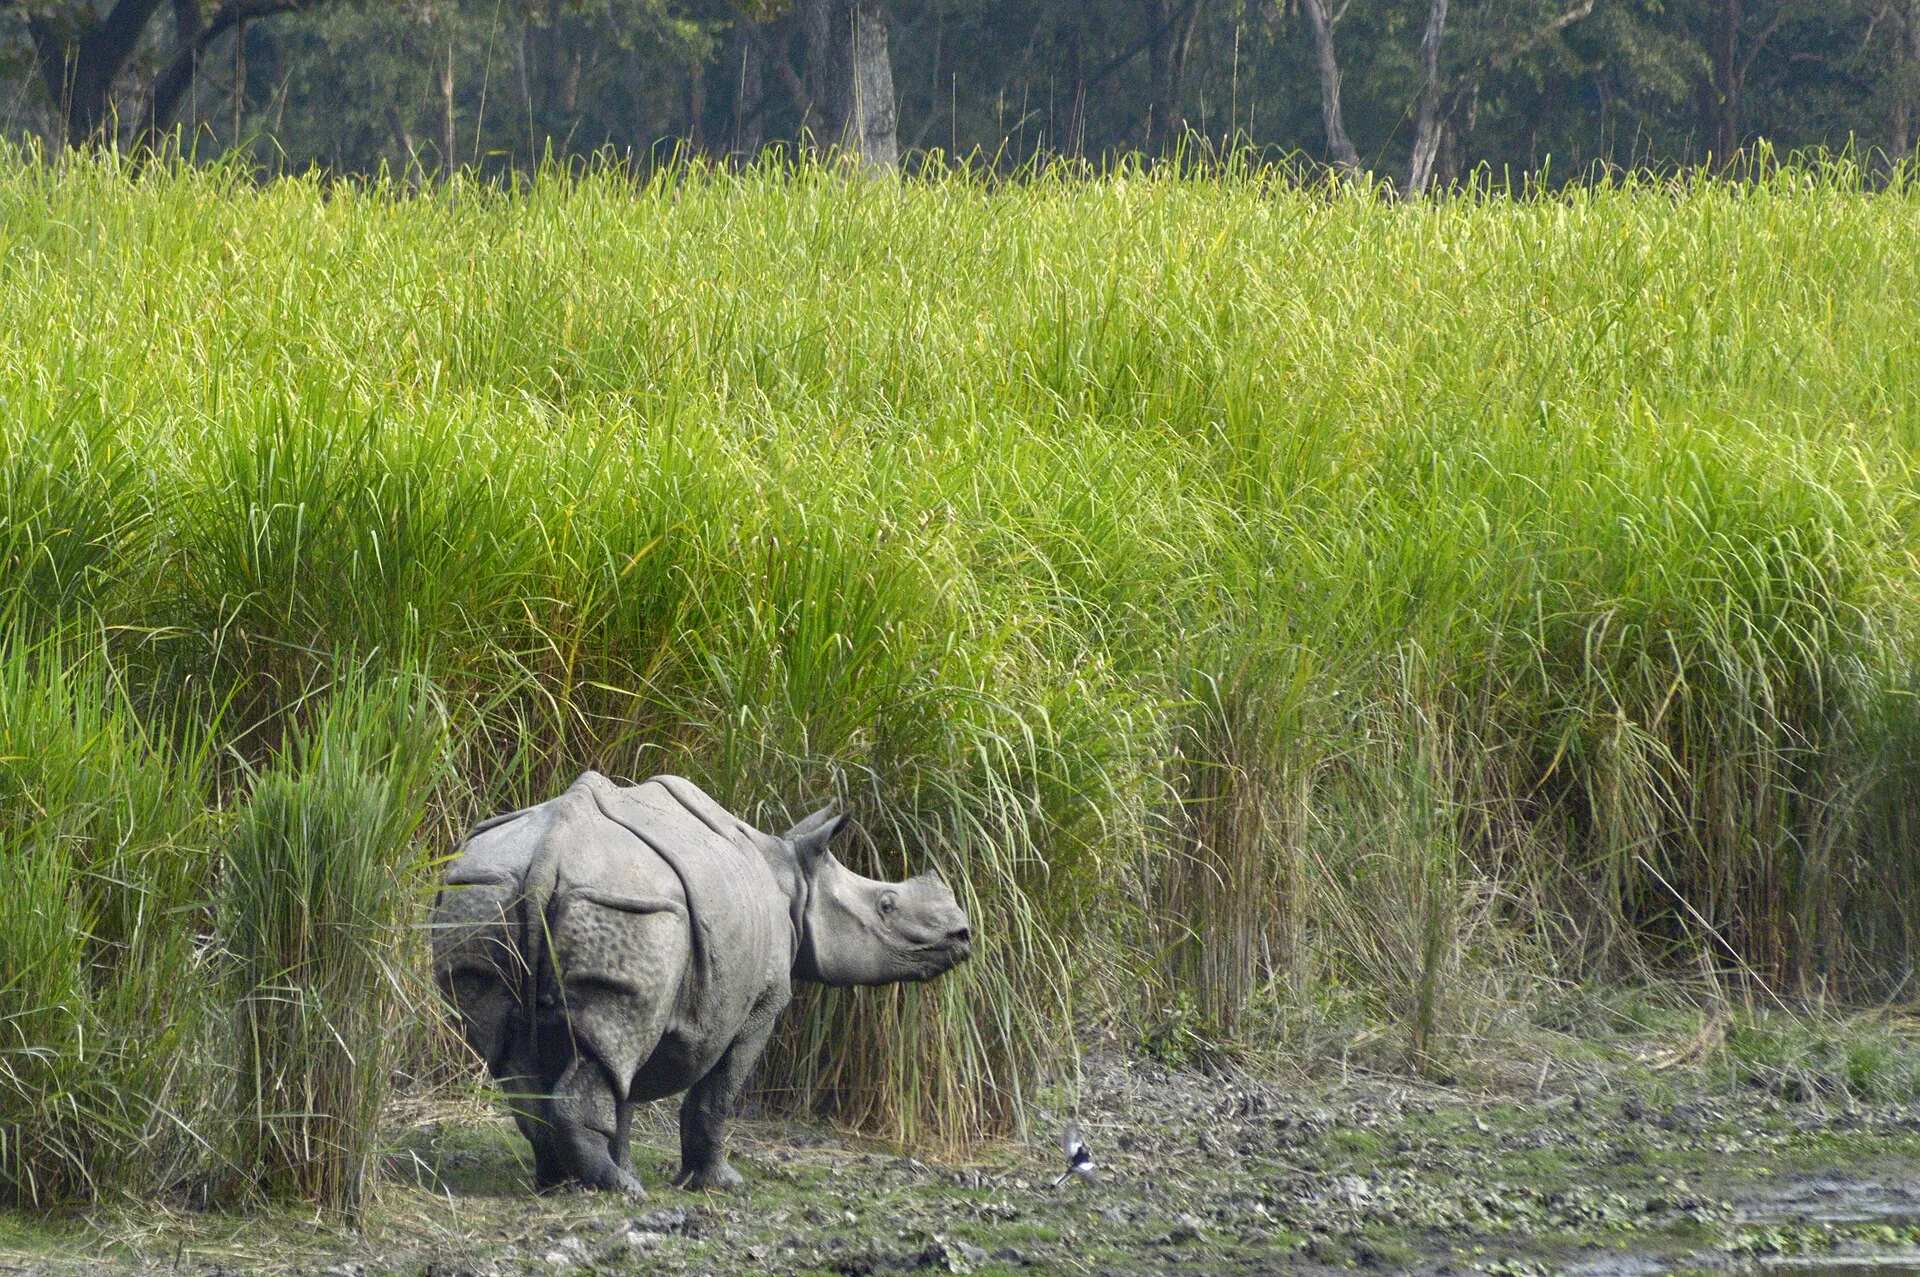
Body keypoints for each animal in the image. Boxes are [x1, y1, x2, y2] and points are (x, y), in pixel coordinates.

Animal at [430, 771, 973, 1196]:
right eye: (887, 906)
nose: (962, 934)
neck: (796, 880)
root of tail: (549, 851)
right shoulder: (761, 1004)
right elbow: (715, 1094)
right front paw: (718, 1184)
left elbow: (623, 1093)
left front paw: (631, 1168)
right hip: (630, 908)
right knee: (604, 1046)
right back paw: (618, 1191)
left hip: (483, 891)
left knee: (525, 1051)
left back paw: (562, 1183)